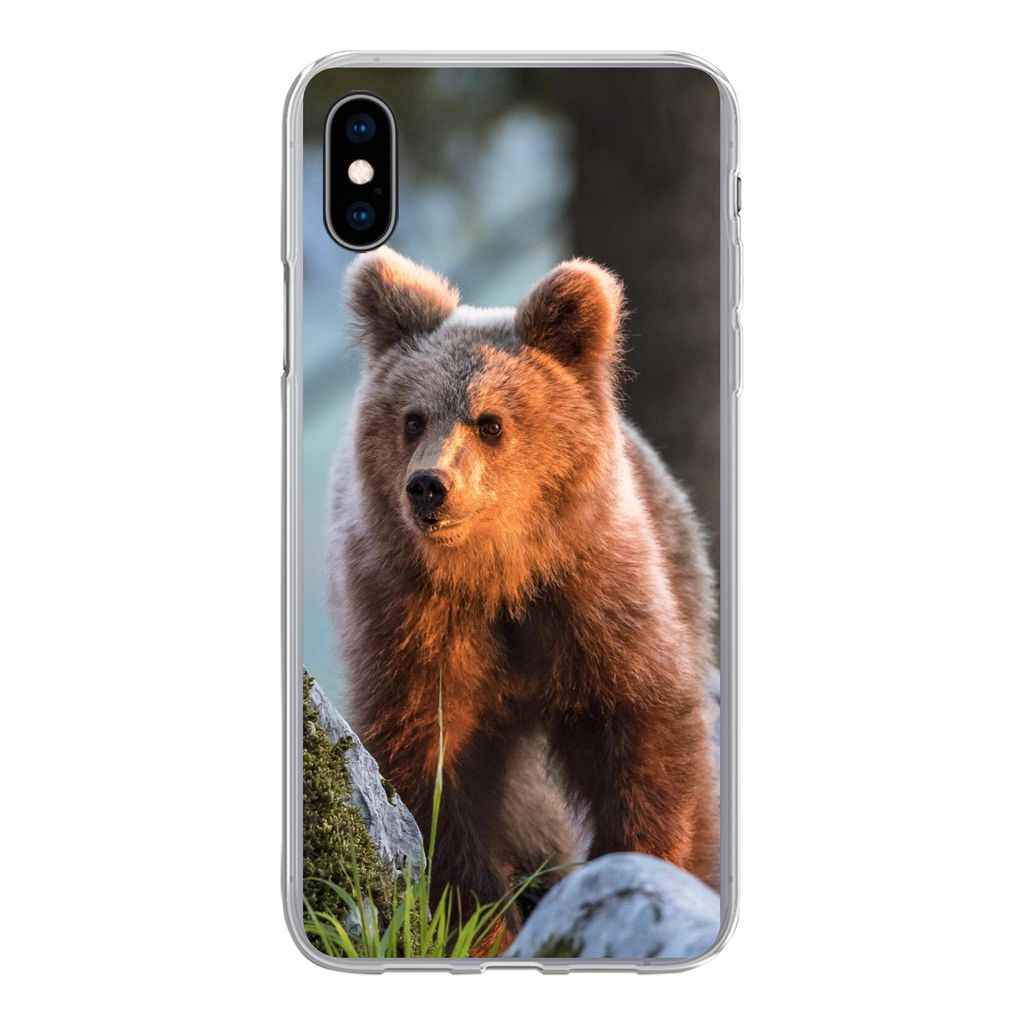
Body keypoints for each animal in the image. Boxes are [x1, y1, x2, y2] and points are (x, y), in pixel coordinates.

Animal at [327, 247, 718, 924]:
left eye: (490, 423)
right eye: (412, 418)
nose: (429, 486)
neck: (498, 573)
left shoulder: (594, 595)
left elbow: (646, 727)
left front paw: (644, 862)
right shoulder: (410, 619)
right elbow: (431, 764)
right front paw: (480, 915)